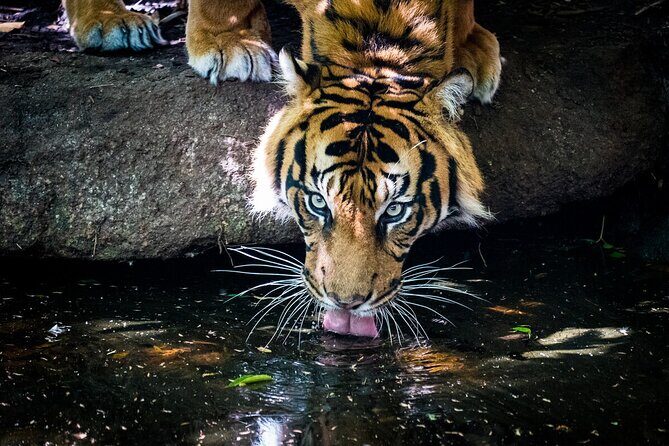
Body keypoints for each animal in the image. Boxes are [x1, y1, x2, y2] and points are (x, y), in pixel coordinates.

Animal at [62, 0, 501, 338]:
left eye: (394, 210)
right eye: (318, 203)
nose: (346, 304)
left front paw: (469, 47)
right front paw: (227, 42)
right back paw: (108, 22)